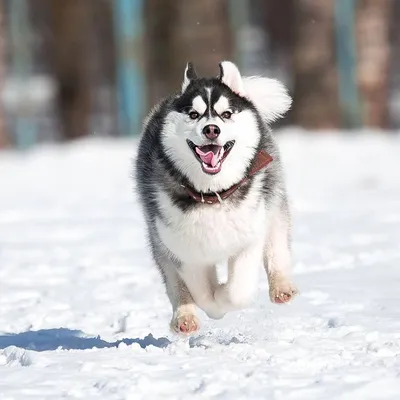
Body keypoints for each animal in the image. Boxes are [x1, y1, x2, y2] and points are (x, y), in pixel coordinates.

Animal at [137, 60, 296, 334]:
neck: (212, 195)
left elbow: (237, 292)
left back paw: (281, 286)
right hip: (160, 238)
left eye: (227, 114)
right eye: (193, 114)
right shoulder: (184, 249)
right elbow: (201, 292)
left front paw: (223, 295)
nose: (211, 129)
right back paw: (185, 316)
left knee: (276, 241)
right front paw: (213, 305)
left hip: (272, 199)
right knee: (175, 282)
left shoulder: (248, 238)